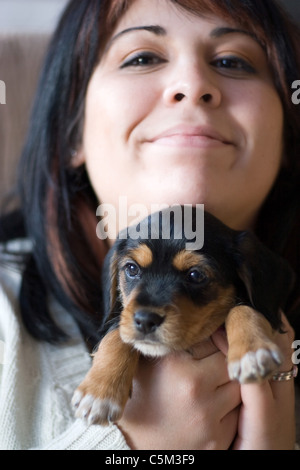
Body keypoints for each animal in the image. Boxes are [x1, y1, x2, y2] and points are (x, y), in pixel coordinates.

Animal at [72, 206, 292, 426]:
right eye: (132, 268)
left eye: (195, 275)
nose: (145, 320)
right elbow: (115, 333)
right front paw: (99, 393)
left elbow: (244, 309)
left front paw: (252, 352)